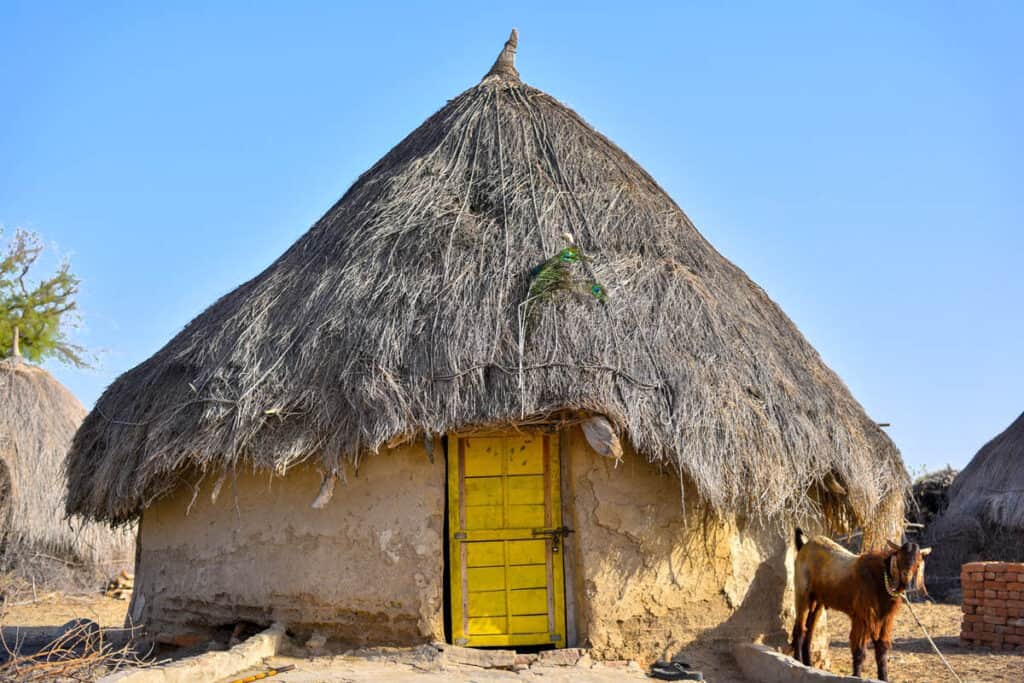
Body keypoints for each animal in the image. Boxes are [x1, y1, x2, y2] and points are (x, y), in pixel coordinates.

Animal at [790, 528, 929, 679]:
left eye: (918, 561)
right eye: (900, 557)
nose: (906, 575)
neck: (881, 577)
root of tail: (804, 546)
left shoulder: (885, 620)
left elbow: (882, 650)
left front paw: (883, 677)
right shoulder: (862, 618)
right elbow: (859, 650)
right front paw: (856, 675)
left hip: (817, 601)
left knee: (809, 631)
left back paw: (808, 664)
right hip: (802, 594)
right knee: (800, 630)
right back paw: (798, 661)